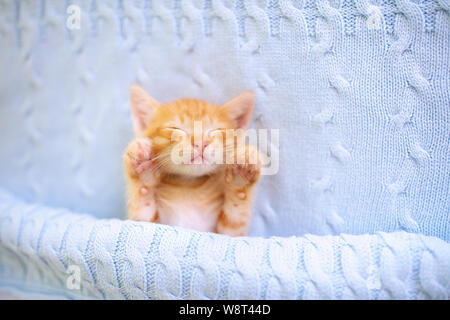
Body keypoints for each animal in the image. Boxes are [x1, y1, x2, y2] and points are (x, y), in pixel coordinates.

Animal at [125, 84, 262, 236]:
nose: (200, 143)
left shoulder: (229, 234)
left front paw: (240, 176)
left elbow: (234, 222)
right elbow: (142, 217)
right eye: (175, 128)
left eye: (216, 130)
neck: (189, 185)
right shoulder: (149, 225)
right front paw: (143, 174)